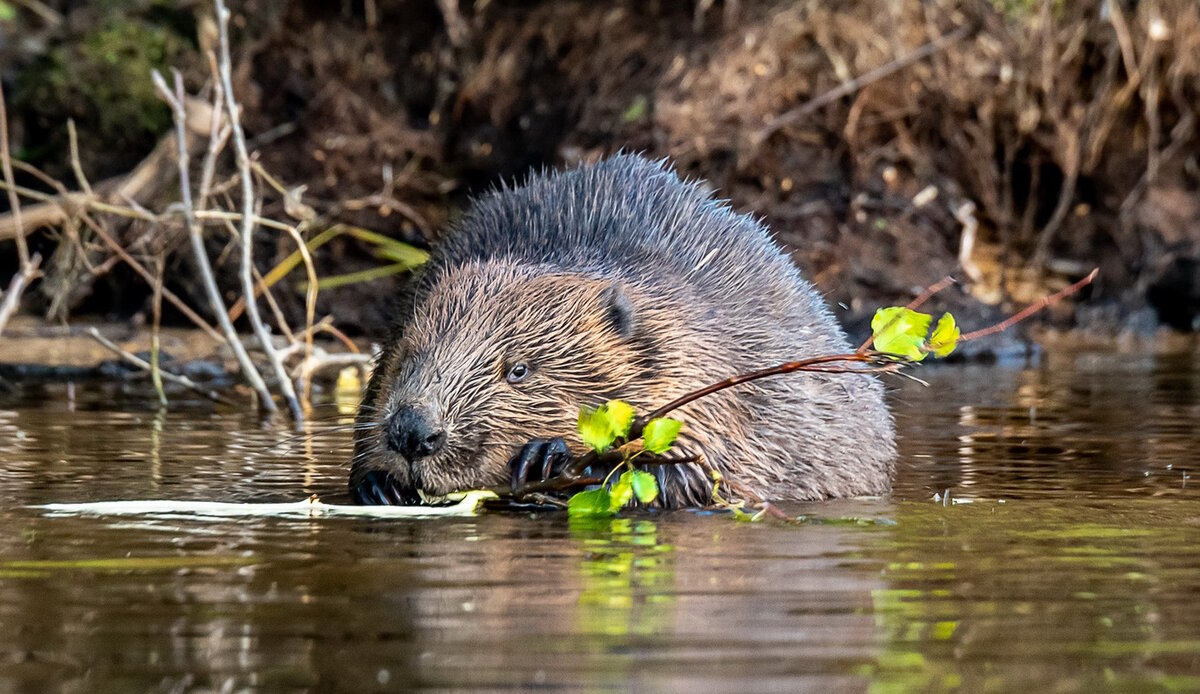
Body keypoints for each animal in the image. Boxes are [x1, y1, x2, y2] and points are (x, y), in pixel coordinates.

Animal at [348, 153, 892, 504]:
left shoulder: (713, 375)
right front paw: (378, 484)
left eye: (518, 370)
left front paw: (548, 458)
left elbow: (693, 470)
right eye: (409, 356)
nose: (412, 432)